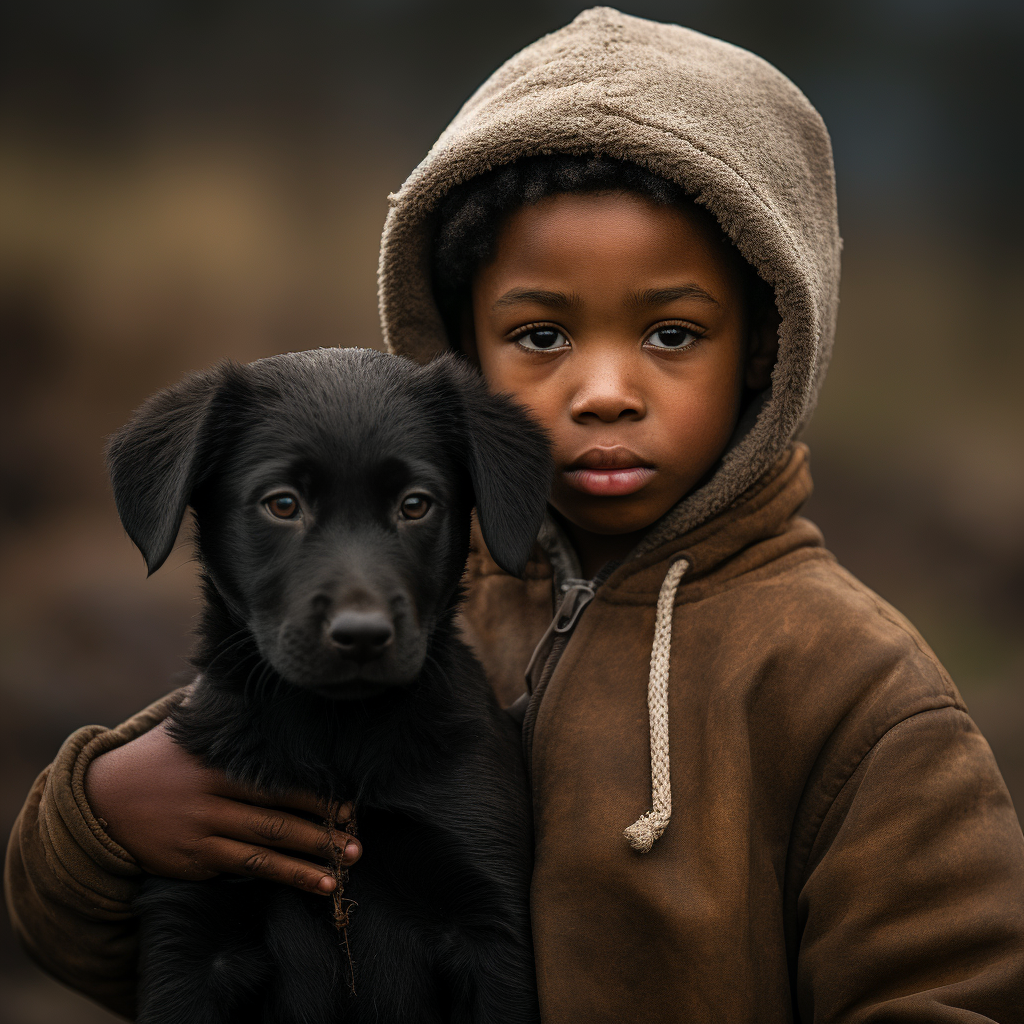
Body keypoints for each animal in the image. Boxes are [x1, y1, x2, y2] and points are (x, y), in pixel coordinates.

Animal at [107, 346, 548, 1024]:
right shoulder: (189, 932)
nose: (362, 635)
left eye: (415, 505)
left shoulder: (489, 923)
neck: (338, 740)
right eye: (283, 504)